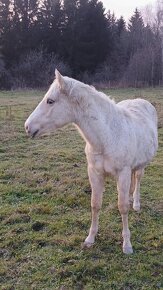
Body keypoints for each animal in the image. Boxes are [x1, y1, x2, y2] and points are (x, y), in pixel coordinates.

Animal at [24, 69, 157, 254]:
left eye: (50, 101)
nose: (27, 127)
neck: (107, 136)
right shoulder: (94, 172)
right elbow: (95, 204)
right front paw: (90, 239)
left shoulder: (122, 173)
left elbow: (122, 207)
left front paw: (127, 245)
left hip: (140, 165)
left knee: (137, 179)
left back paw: (136, 204)